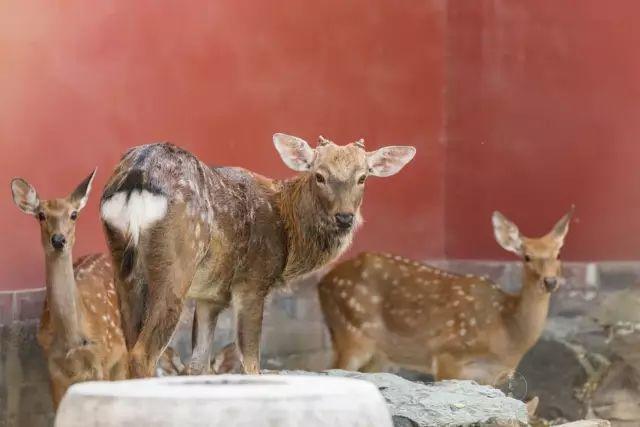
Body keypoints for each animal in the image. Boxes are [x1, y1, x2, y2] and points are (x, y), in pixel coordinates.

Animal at [99, 135, 416, 378]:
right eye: (319, 175)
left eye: (363, 177)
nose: (345, 217)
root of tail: (138, 176)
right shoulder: (252, 280)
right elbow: (252, 361)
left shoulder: (210, 295)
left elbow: (199, 364)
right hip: (178, 261)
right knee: (142, 353)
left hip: (123, 266)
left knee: (130, 345)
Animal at [318, 209, 572, 386]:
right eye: (527, 257)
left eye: (558, 253)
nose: (550, 282)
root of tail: (323, 282)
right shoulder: (447, 354)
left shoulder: (492, 377)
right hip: (351, 331)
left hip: (380, 354)